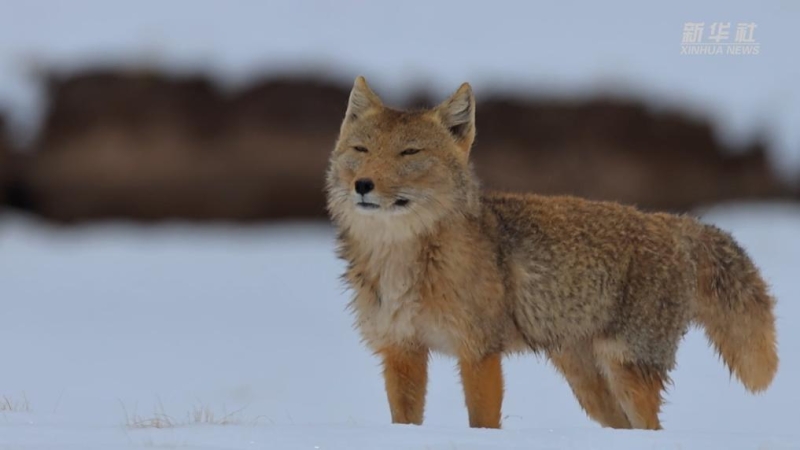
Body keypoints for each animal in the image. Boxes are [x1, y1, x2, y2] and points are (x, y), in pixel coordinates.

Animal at [324, 76, 776, 428]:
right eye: (362, 150)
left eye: (410, 153)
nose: (363, 185)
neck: (400, 260)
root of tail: (674, 223)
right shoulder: (401, 351)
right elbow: (405, 421)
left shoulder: (479, 352)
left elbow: (482, 423)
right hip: (590, 387)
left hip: (626, 373)